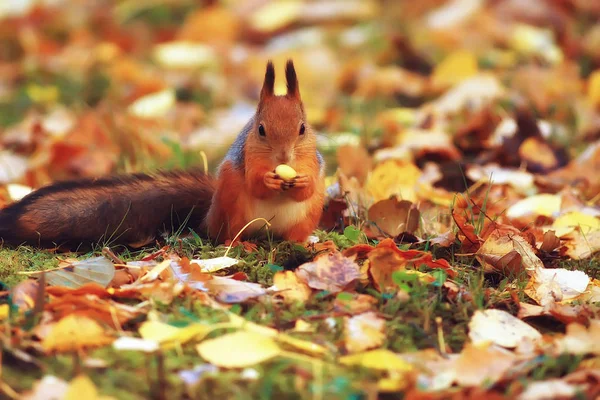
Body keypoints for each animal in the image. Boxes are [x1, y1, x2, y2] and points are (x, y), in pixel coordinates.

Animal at [0, 60, 324, 250]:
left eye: (303, 128)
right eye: (260, 130)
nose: (284, 157)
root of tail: (209, 214)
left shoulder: (312, 162)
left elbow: (307, 187)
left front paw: (302, 182)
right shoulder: (245, 158)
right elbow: (256, 183)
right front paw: (268, 181)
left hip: (308, 215)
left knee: (294, 232)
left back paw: (306, 244)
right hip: (232, 207)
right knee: (227, 235)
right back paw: (241, 244)